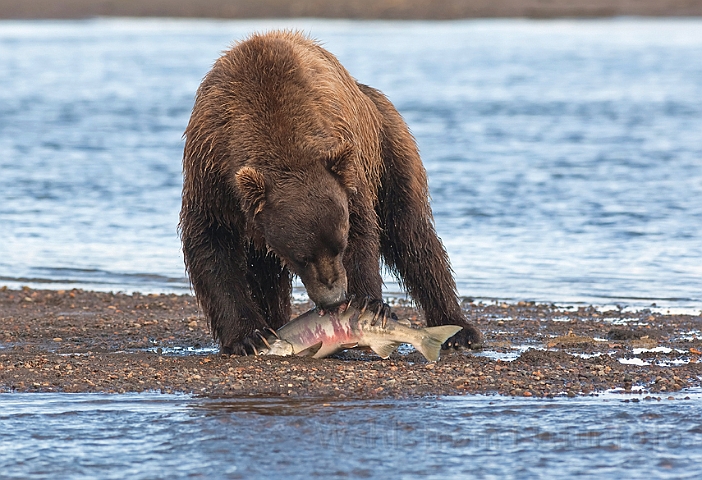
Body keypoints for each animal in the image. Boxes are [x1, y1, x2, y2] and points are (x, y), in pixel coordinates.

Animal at [180, 29, 484, 352]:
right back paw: (275, 320)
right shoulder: (212, 173)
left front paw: (370, 304)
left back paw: (460, 330)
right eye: (302, 257)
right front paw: (249, 336)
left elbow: (365, 228)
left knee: (411, 233)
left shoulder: (346, 166)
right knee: (264, 268)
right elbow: (211, 245)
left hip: (389, 148)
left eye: (339, 245)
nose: (334, 299)